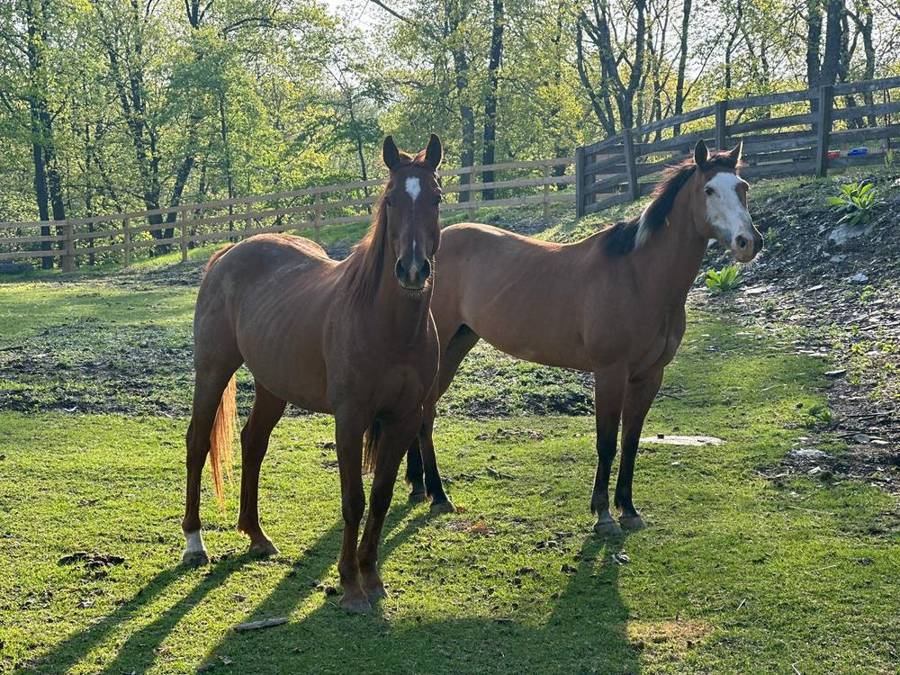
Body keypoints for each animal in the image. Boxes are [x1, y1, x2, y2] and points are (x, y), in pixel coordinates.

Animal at [182, 134, 444, 613]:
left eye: (435, 197)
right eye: (391, 199)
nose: (412, 270)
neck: (387, 324)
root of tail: (229, 252)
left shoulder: (405, 418)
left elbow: (381, 498)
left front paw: (372, 576)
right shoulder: (350, 417)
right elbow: (353, 500)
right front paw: (350, 584)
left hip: (272, 385)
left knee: (253, 442)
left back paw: (256, 535)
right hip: (212, 371)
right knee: (197, 442)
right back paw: (194, 542)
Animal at [405, 139, 762, 535]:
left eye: (743, 187)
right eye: (709, 190)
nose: (749, 242)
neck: (639, 277)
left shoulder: (649, 376)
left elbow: (631, 441)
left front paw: (629, 509)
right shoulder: (610, 373)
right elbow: (606, 442)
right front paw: (603, 514)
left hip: (457, 345)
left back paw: (419, 486)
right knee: (425, 415)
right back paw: (438, 495)